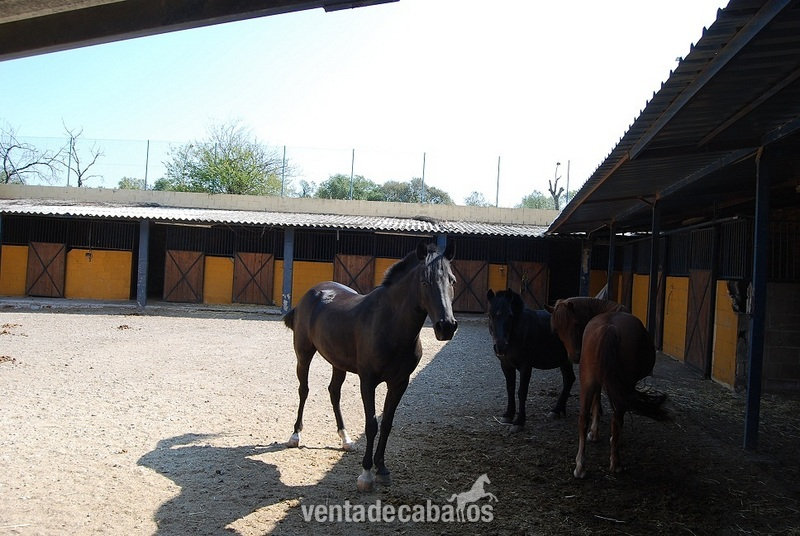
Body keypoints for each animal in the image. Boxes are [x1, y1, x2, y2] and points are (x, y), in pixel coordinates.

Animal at [282, 241, 458, 492]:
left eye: (452, 280)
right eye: (425, 281)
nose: (447, 326)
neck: (390, 326)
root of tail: (312, 293)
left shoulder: (399, 383)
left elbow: (386, 423)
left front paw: (382, 469)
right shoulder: (368, 381)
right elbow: (371, 424)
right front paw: (366, 474)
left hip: (338, 362)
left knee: (334, 392)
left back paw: (345, 439)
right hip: (304, 354)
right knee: (304, 390)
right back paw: (295, 435)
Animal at [486, 288, 574, 432]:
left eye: (510, 316)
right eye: (490, 316)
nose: (500, 347)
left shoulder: (525, 367)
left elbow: (522, 392)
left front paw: (519, 422)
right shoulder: (506, 365)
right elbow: (510, 389)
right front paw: (508, 415)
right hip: (565, 361)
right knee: (569, 379)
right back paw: (557, 410)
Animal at [563, 311, 670, 478]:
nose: (573, 355)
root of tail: (609, 327)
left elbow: (596, 402)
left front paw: (594, 433)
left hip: (588, 383)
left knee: (583, 419)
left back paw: (580, 467)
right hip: (623, 385)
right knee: (616, 419)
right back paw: (616, 464)